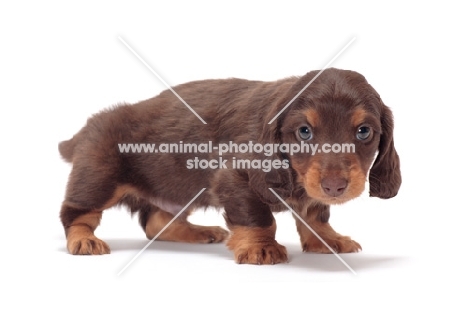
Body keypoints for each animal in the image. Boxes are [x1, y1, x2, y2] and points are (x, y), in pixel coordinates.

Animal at [59, 68, 402, 266]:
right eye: (304, 131)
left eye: (364, 131)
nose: (335, 186)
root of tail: (86, 129)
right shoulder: (234, 179)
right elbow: (259, 218)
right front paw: (261, 248)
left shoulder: (311, 188)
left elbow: (315, 214)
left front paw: (327, 239)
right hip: (98, 179)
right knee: (76, 214)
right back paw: (83, 240)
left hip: (178, 189)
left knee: (157, 221)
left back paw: (200, 231)